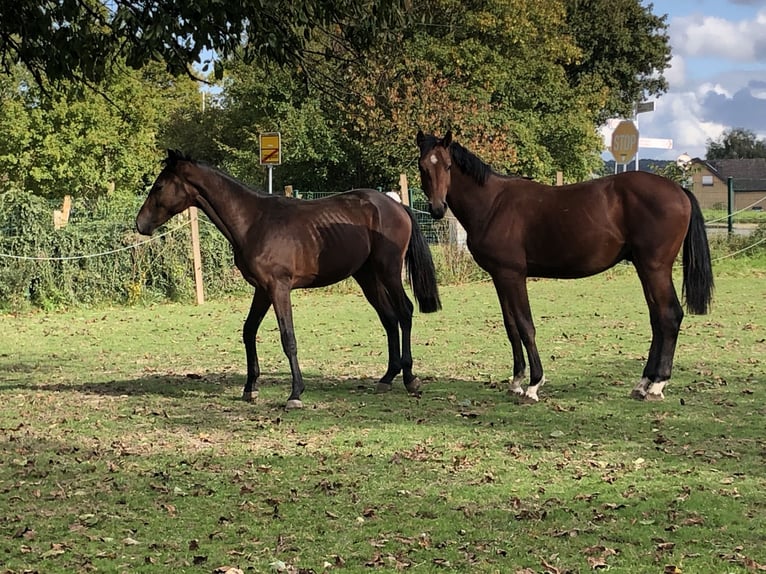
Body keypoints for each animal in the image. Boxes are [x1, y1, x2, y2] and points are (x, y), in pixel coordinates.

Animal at [135, 148, 440, 410]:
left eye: (159, 186)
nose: (140, 224)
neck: (254, 222)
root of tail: (395, 205)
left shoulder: (278, 288)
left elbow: (288, 337)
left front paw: (295, 394)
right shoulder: (262, 290)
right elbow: (249, 331)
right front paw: (250, 388)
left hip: (388, 271)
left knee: (404, 312)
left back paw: (410, 379)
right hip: (367, 276)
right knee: (389, 318)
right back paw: (387, 378)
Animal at [416, 130, 716, 402]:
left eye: (448, 166)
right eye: (422, 166)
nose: (437, 208)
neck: (493, 204)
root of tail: (679, 190)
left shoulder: (513, 275)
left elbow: (525, 325)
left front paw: (534, 384)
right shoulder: (499, 277)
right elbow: (511, 326)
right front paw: (516, 381)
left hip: (656, 268)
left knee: (670, 315)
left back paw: (657, 385)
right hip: (645, 268)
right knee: (657, 319)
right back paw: (643, 383)